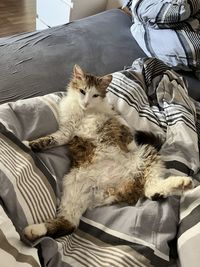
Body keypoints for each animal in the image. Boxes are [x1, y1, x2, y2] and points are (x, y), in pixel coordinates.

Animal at [23, 65, 194, 243]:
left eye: (95, 95)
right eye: (82, 91)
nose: (85, 102)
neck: (86, 112)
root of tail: (111, 187)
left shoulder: (115, 116)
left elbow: (127, 131)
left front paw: (130, 144)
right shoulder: (66, 131)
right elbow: (50, 139)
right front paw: (29, 144)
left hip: (147, 153)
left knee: (150, 188)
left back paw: (182, 183)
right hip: (73, 187)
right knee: (69, 223)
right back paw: (34, 231)